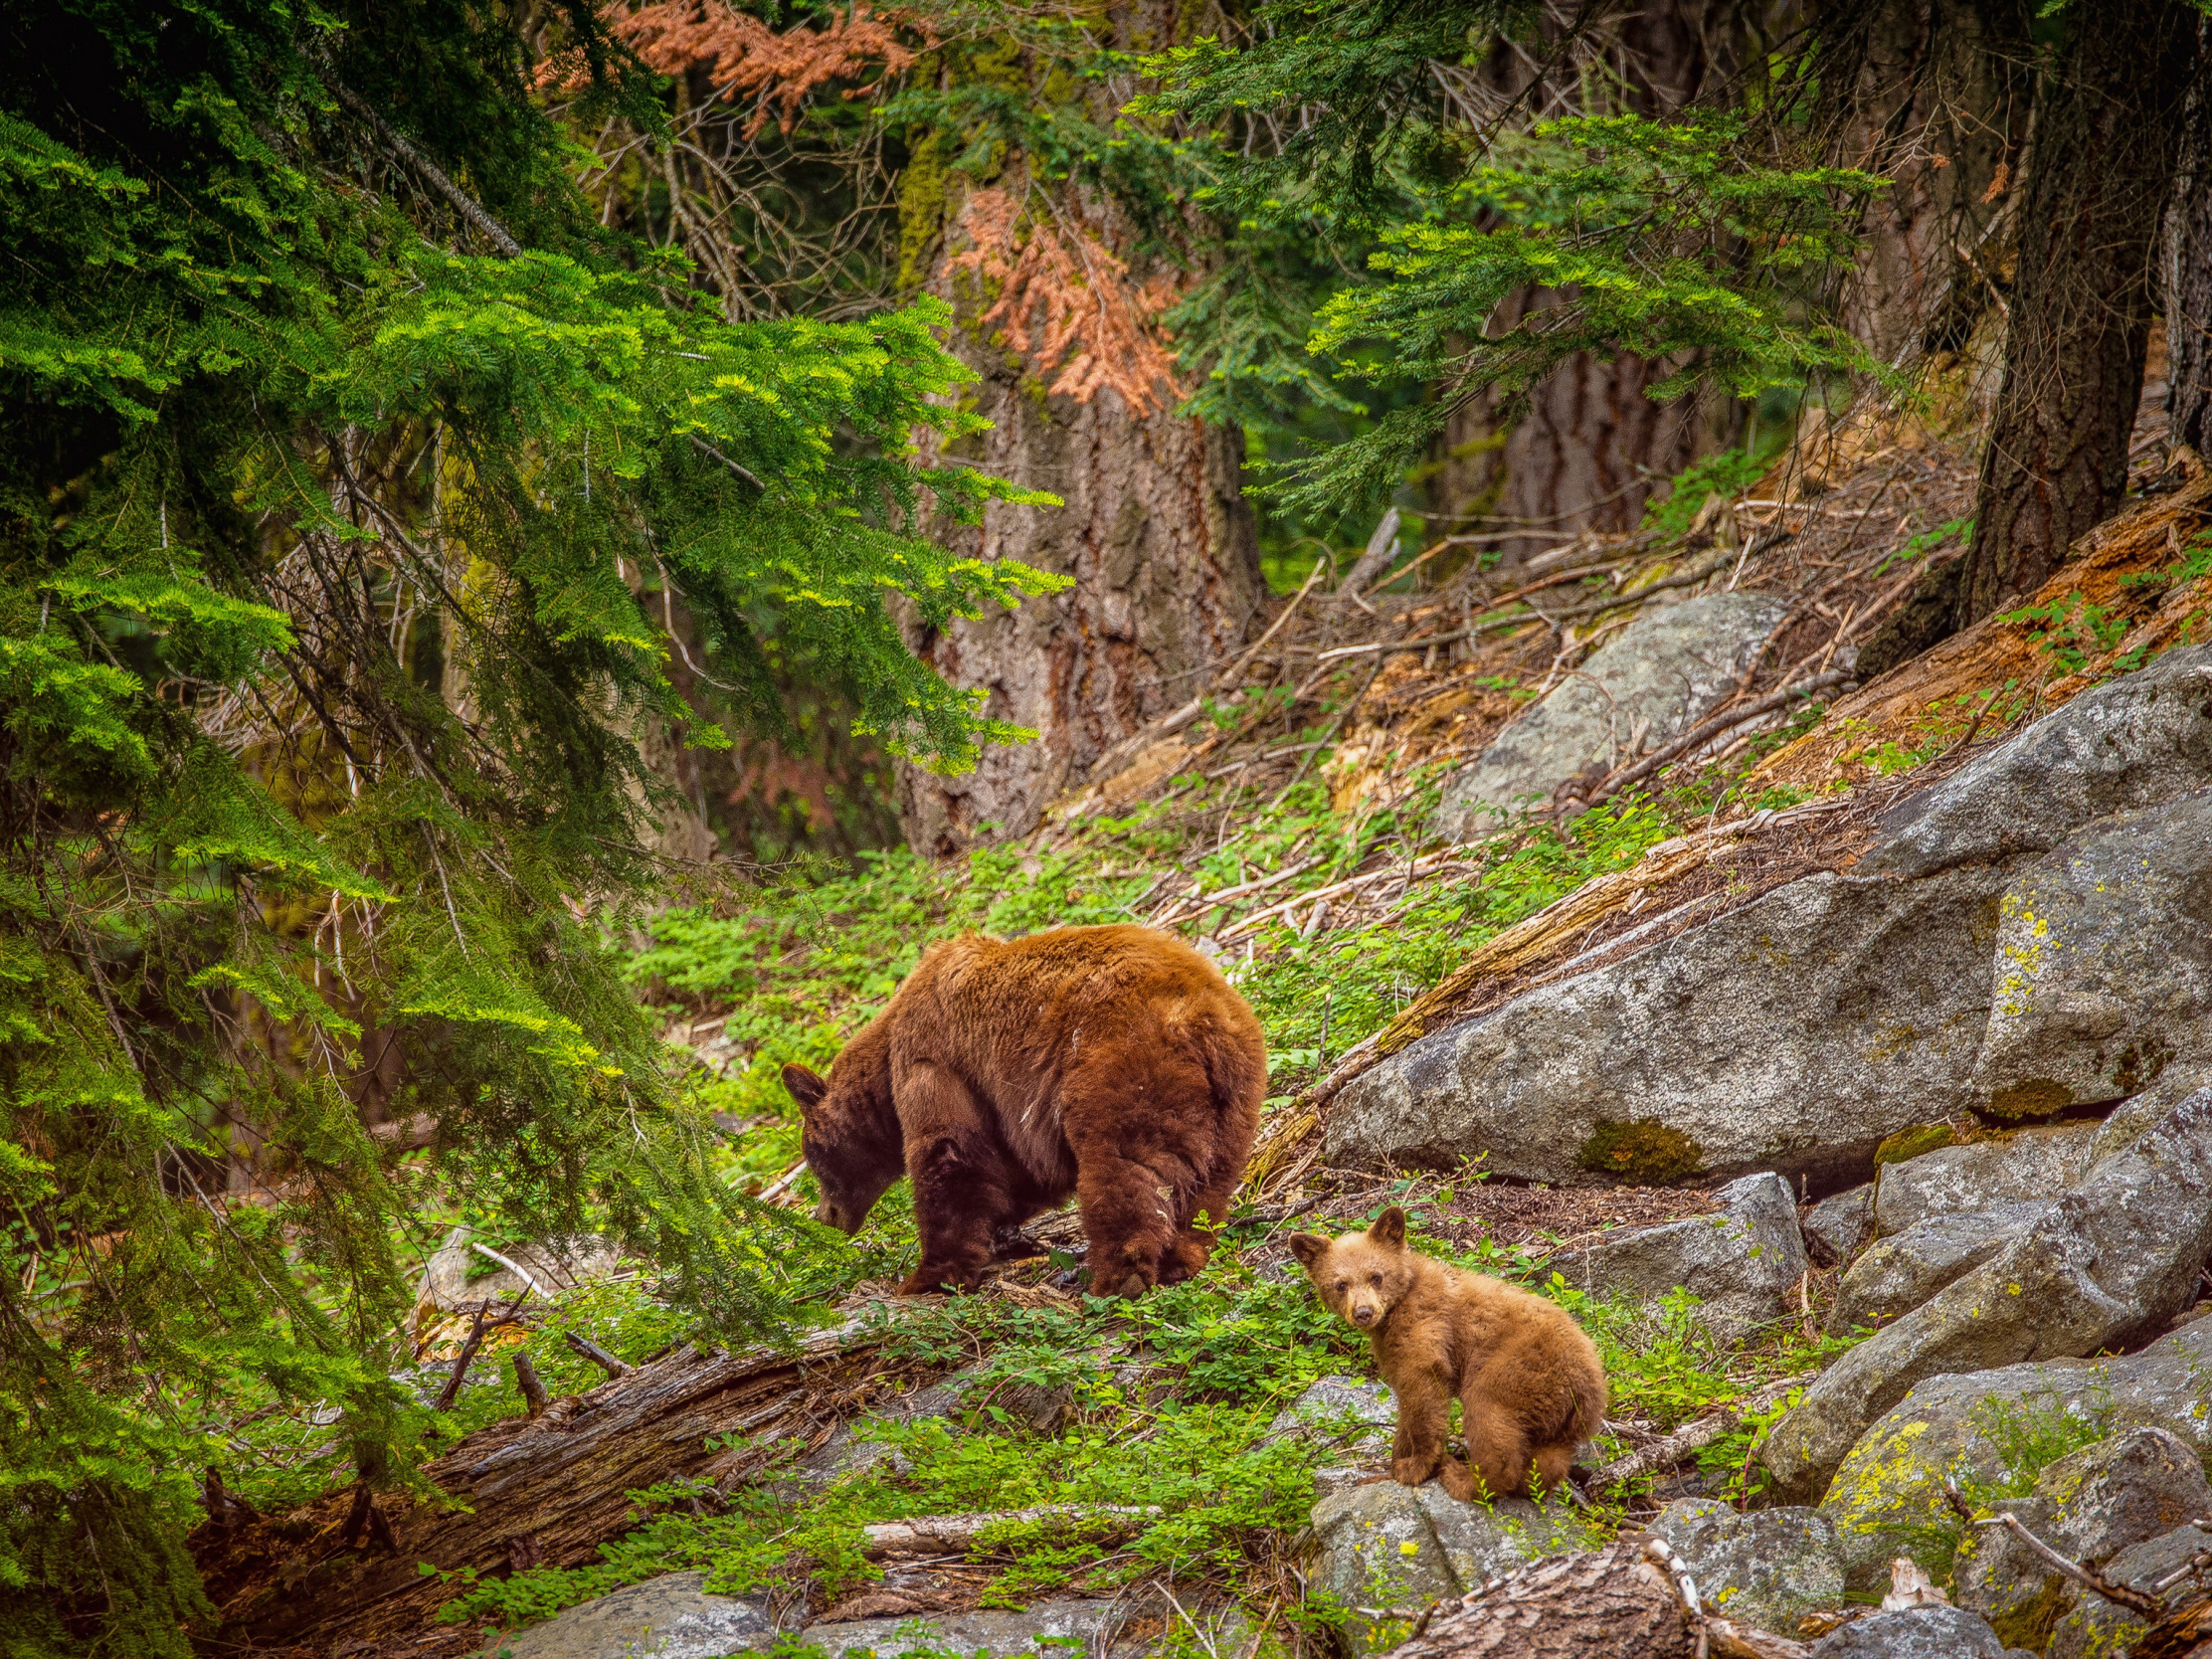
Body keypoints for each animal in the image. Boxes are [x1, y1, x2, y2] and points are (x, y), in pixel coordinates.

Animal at [778, 924, 1265, 1300]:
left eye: (812, 1159)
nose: (824, 1218)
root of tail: (1199, 1017)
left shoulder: (935, 1062)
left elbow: (948, 1153)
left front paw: (927, 1277)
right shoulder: (1006, 1110)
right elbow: (1014, 1172)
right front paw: (1005, 1235)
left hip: (1121, 1065)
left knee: (1121, 1166)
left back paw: (1117, 1277)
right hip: (1235, 1096)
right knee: (1208, 1182)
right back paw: (1183, 1257)